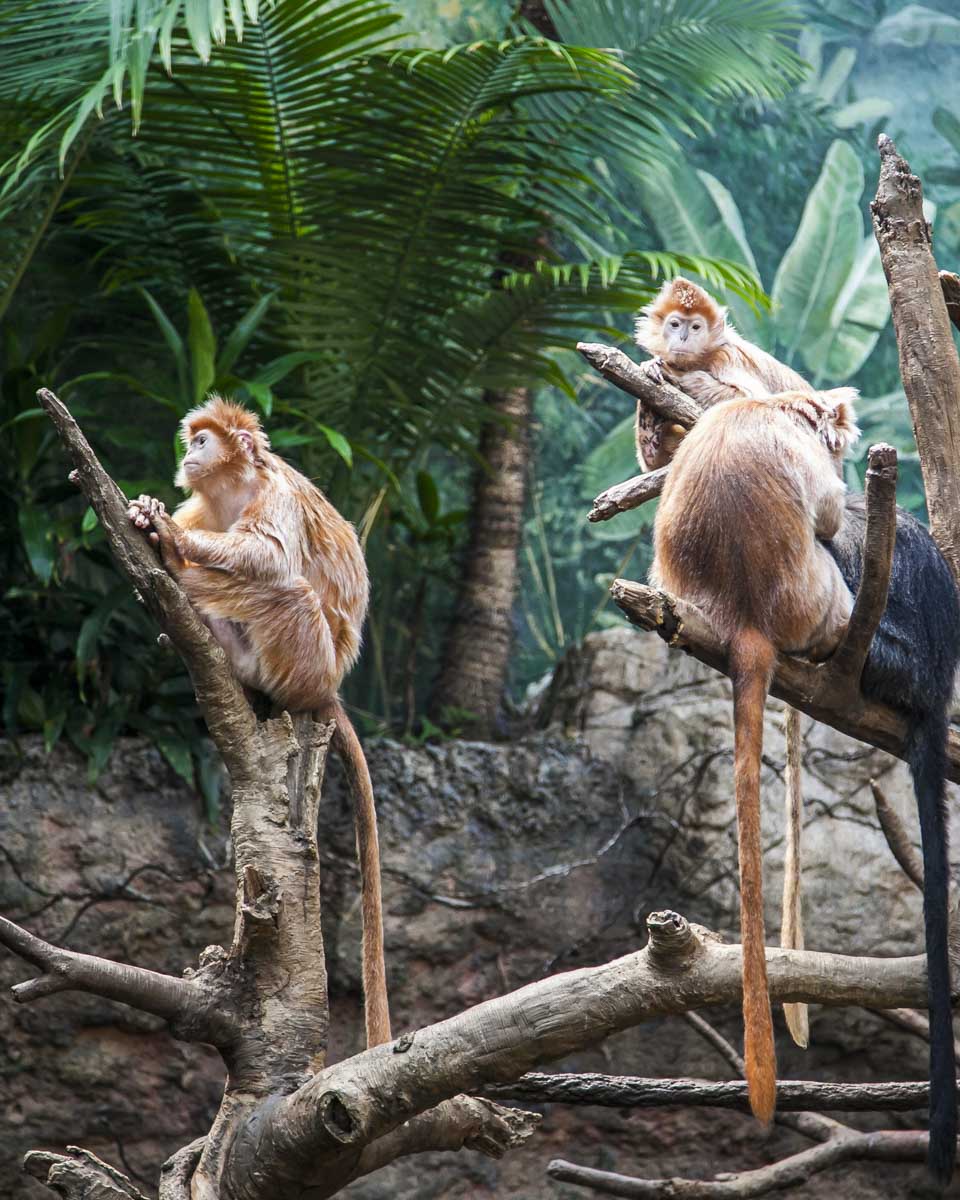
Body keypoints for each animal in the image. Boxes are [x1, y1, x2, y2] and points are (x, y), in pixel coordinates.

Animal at [127, 397, 391, 1048]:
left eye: (203, 440)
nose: (189, 451)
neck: (235, 488)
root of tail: (330, 687)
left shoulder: (274, 494)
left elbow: (270, 555)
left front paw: (170, 538)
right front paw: (154, 521)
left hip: (308, 661)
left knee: (285, 588)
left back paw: (188, 581)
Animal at [633, 277, 815, 471]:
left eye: (695, 327)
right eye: (675, 325)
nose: (683, 337)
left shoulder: (726, 356)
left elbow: (752, 402)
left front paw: (674, 374)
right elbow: (654, 464)